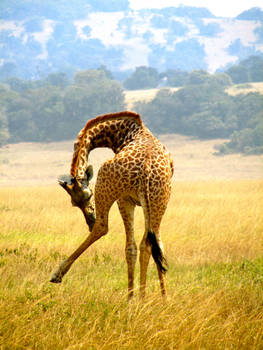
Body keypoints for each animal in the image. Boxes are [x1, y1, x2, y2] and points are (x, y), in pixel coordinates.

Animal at [51, 111, 175, 298]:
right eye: (74, 203)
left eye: (88, 195)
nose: (90, 220)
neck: (123, 133)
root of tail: (146, 169)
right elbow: (157, 245)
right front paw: (163, 297)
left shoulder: (125, 199)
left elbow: (130, 247)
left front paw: (130, 298)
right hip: (158, 201)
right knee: (149, 244)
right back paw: (148, 297)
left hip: (116, 194)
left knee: (106, 230)